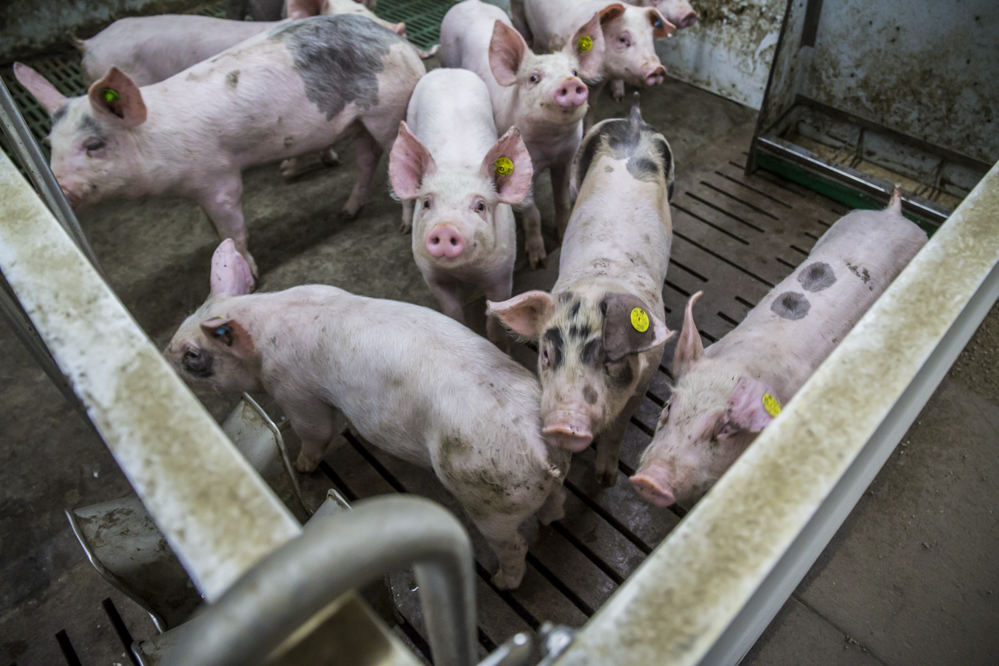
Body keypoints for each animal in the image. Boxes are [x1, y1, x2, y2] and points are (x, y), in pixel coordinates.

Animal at [164, 237, 572, 588]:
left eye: (193, 356)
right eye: (183, 322)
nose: (165, 354)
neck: (262, 335)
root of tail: (537, 445)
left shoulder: (295, 392)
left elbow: (315, 431)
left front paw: (301, 466)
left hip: (488, 496)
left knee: (514, 544)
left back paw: (502, 582)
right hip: (548, 471)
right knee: (556, 501)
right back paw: (551, 519)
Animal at [386, 69, 536, 350]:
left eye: (480, 206)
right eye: (427, 203)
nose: (445, 228)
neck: (464, 272)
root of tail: (447, 70)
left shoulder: (503, 271)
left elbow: (494, 315)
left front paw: (501, 348)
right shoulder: (430, 273)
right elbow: (452, 311)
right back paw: (403, 226)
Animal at [488, 93, 676, 486]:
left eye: (609, 360)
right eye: (546, 354)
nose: (563, 425)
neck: (599, 282)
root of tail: (635, 120)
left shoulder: (643, 383)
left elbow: (617, 430)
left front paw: (605, 480)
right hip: (577, 171)